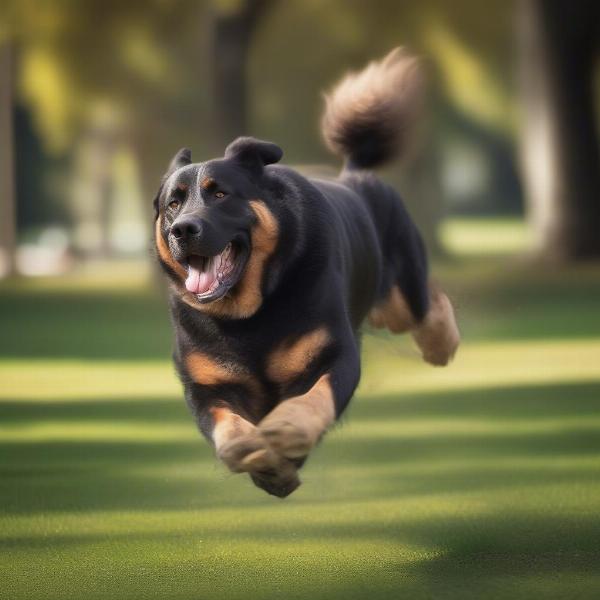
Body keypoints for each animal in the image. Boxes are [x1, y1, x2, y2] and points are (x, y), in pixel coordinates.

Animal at [152, 48, 458, 496]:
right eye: (172, 204)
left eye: (221, 193)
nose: (183, 229)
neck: (249, 315)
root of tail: (354, 172)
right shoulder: (206, 384)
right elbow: (227, 427)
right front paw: (255, 455)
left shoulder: (335, 353)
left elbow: (313, 397)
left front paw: (287, 429)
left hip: (404, 290)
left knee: (428, 303)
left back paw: (442, 344)